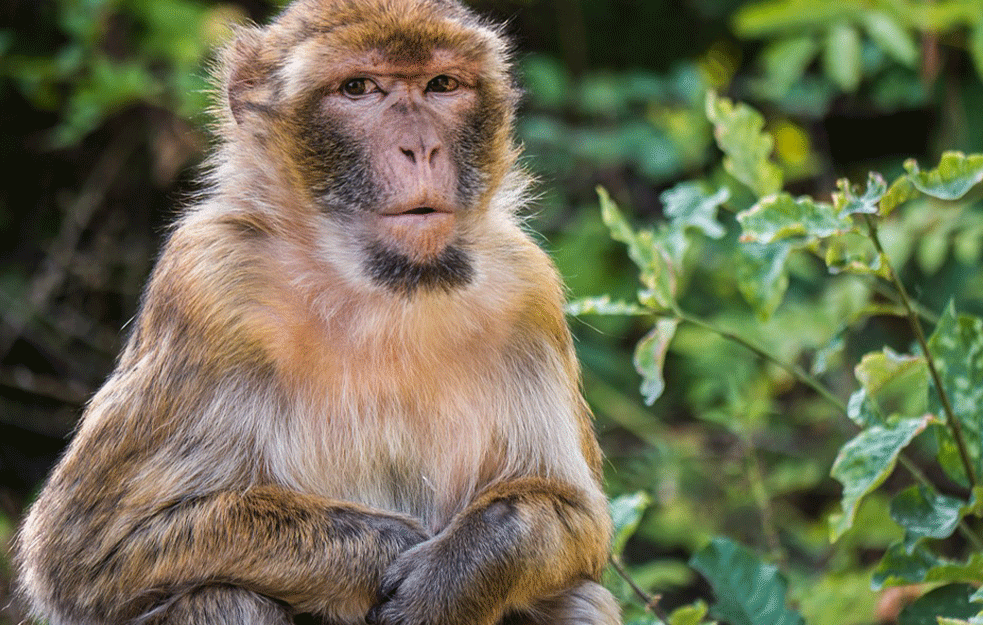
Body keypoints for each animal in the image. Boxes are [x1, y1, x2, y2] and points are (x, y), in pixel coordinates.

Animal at [11, 0, 620, 620]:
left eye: (443, 85)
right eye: (359, 88)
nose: (422, 149)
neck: (381, 287)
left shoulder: (527, 290)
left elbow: (578, 519)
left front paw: (454, 574)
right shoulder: (208, 280)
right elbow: (85, 556)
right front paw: (382, 549)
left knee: (578, 595)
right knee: (220, 595)